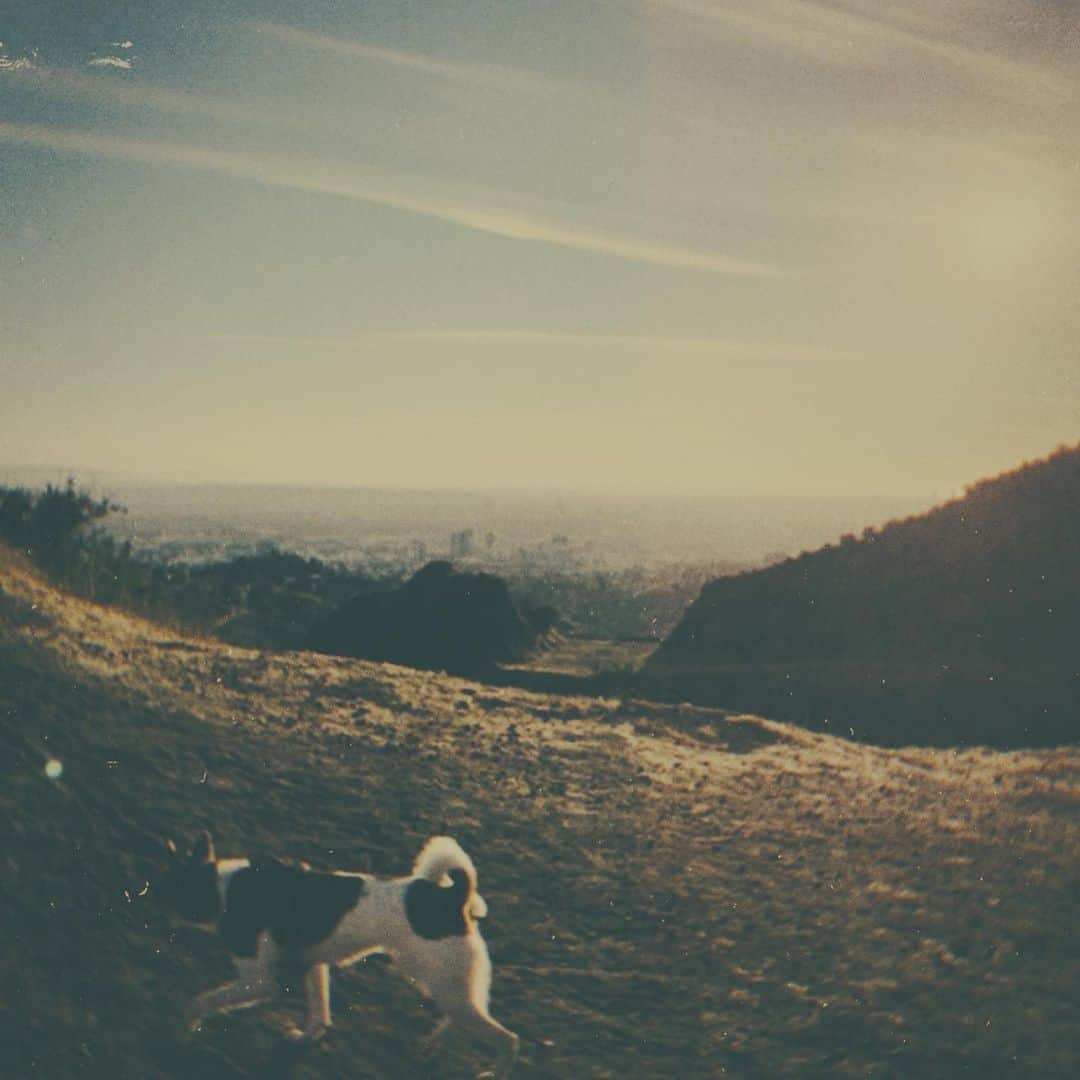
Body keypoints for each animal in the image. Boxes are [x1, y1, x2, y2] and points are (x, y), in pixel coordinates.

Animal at [155, 833, 518, 1071]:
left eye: (165, 893)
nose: (157, 924)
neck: (222, 890)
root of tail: (454, 896)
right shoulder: (313, 965)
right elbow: (320, 1015)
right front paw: (304, 1038)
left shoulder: (260, 982)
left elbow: (199, 1001)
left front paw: (180, 1032)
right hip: (440, 984)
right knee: (457, 1020)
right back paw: (428, 1047)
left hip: (444, 985)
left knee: (507, 1039)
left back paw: (490, 1071)